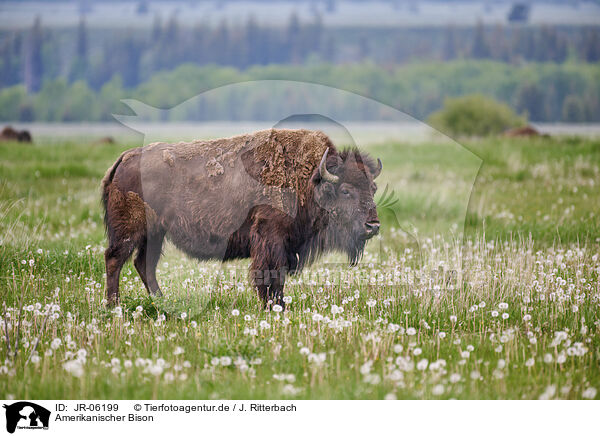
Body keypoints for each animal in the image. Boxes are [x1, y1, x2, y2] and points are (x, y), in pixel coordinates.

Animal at [102, 127, 380, 308]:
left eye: (373, 188)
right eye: (346, 190)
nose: (373, 226)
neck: (309, 181)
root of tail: (124, 158)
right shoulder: (271, 240)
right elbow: (270, 275)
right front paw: (274, 306)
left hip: (155, 234)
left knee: (144, 264)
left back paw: (161, 302)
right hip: (131, 231)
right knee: (115, 259)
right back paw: (114, 306)